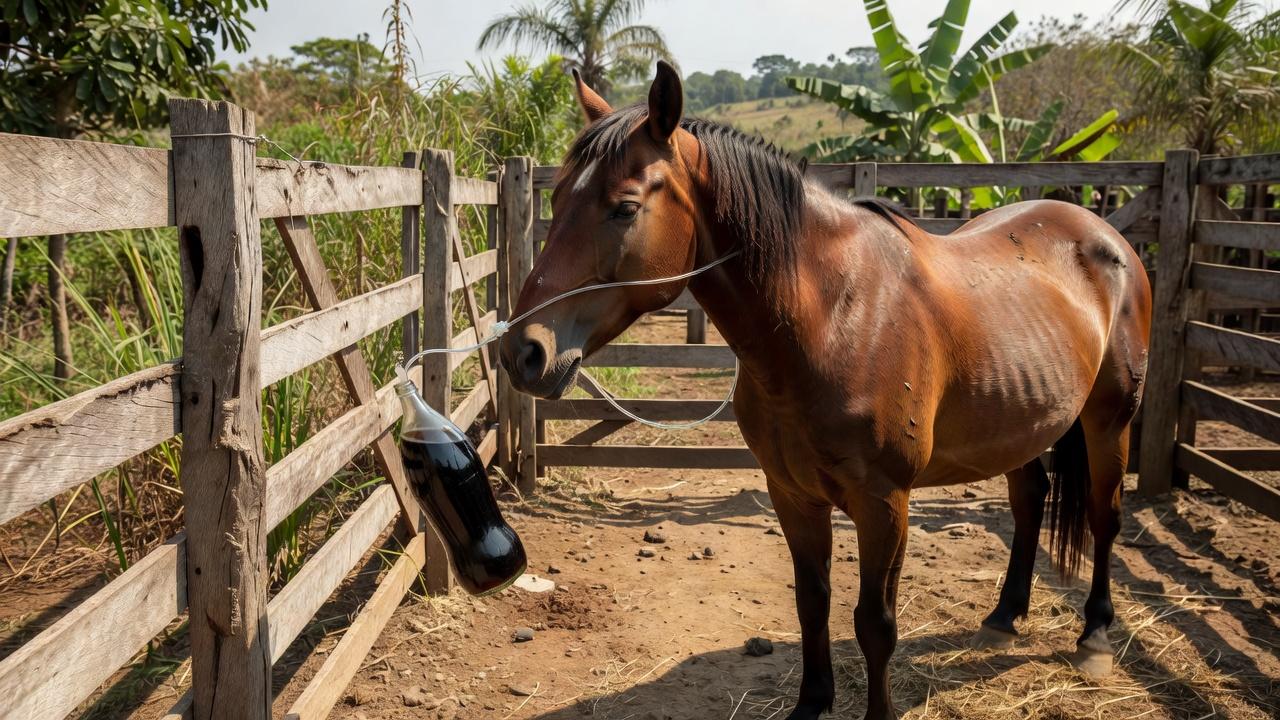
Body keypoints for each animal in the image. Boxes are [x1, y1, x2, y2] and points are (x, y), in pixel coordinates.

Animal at [499, 61, 1151, 720]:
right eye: (557, 198)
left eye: (624, 208)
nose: (522, 351)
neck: (836, 318)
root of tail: (1104, 234)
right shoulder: (791, 493)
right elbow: (811, 603)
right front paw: (811, 704)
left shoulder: (884, 504)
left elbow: (875, 624)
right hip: (1019, 426)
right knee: (1030, 500)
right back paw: (1003, 616)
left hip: (1109, 420)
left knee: (1104, 516)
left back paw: (1095, 635)